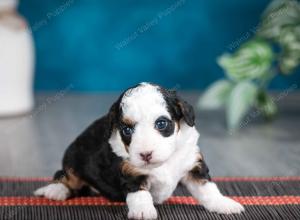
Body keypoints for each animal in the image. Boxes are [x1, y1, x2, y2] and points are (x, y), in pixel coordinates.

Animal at [35, 82, 245, 218]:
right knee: (64, 175)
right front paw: (143, 212)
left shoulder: (193, 165)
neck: (163, 161)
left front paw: (224, 204)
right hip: (74, 158)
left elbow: (208, 189)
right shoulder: (131, 173)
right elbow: (140, 195)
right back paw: (55, 190)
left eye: (161, 124)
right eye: (126, 130)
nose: (145, 155)